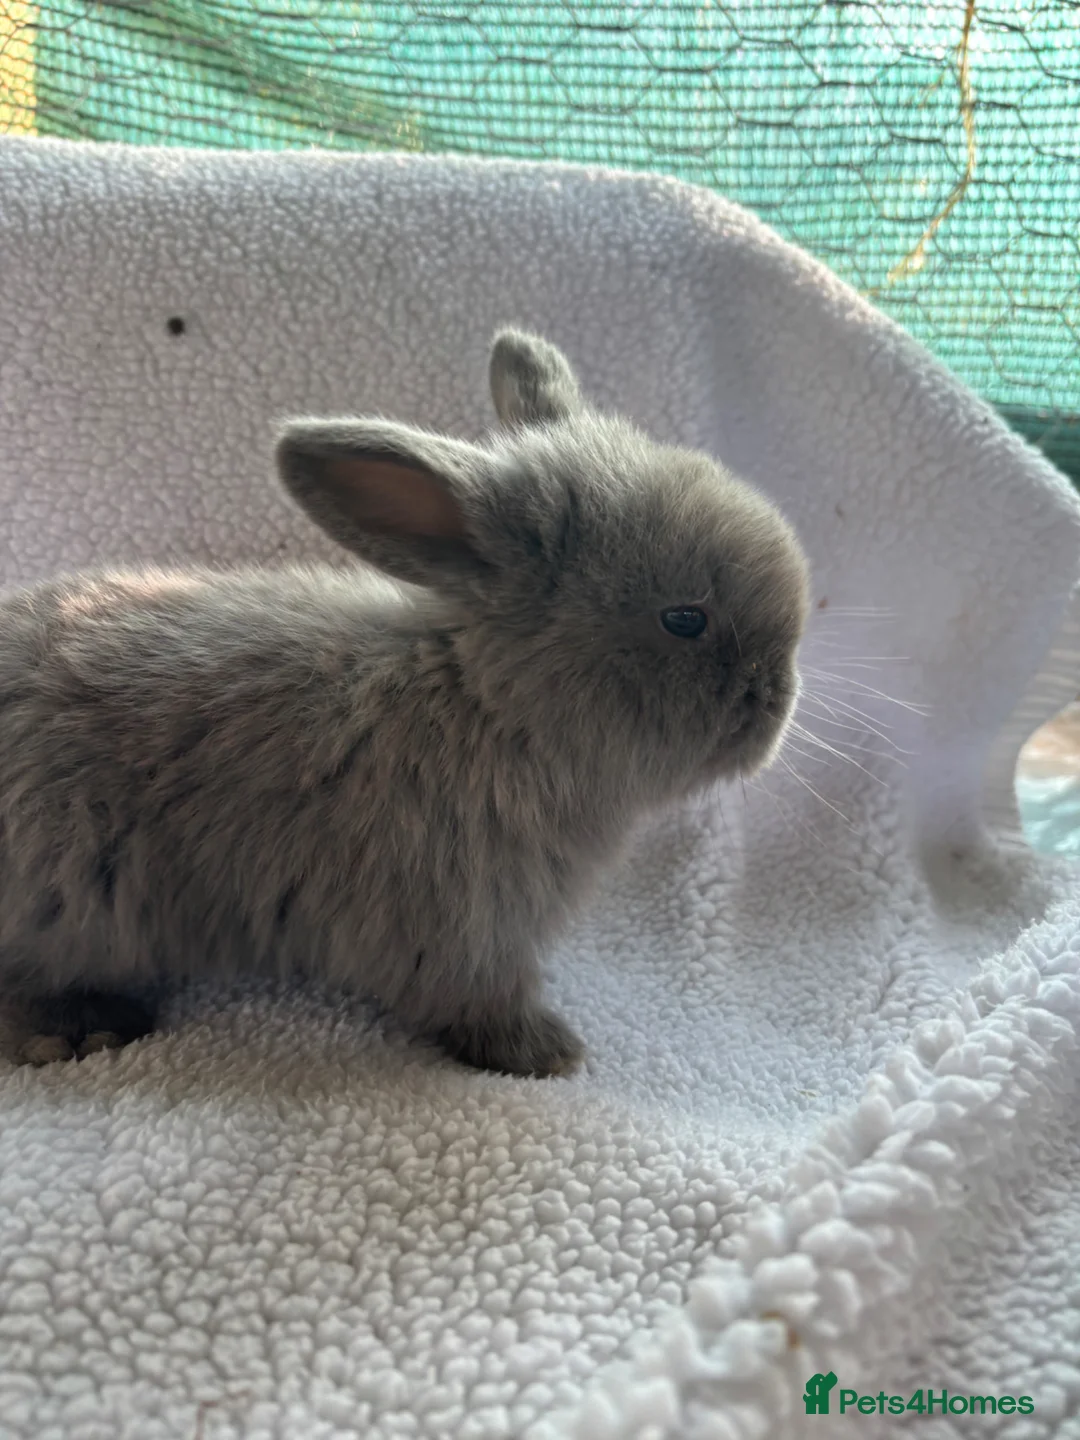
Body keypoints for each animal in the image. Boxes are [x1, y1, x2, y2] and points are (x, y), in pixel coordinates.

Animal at [0, 330, 809, 1076]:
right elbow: (477, 999)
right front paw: (547, 1053)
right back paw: (84, 1030)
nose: (776, 702)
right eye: (685, 619)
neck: (486, 703)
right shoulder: (462, 923)